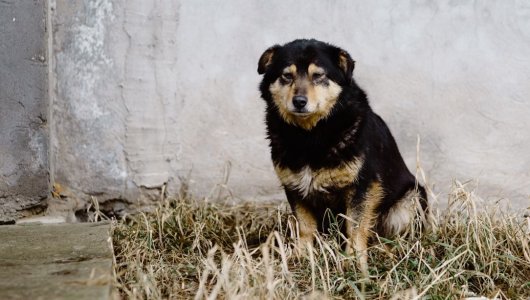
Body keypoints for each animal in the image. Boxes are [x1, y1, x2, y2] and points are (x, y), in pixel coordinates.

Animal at [256, 38, 428, 274]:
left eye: (318, 76)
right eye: (287, 75)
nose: (299, 101)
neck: (310, 135)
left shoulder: (363, 186)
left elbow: (355, 227)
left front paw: (354, 262)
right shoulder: (294, 186)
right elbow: (305, 226)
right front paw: (302, 256)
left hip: (411, 199)